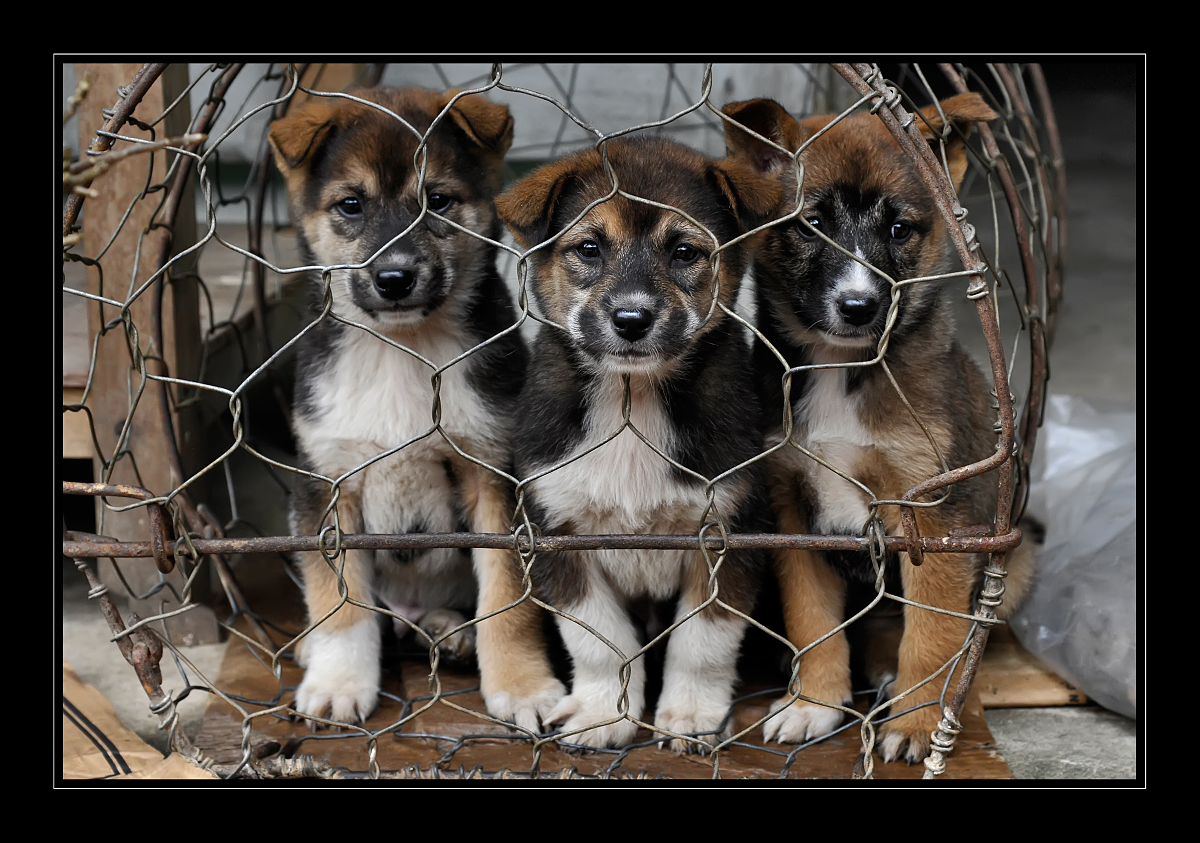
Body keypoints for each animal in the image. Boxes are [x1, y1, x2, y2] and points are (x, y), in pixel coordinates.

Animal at [494, 136, 777, 754]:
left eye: (685, 252)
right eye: (590, 248)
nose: (631, 318)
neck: (634, 395)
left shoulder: (728, 534)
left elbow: (702, 642)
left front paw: (689, 715)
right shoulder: (558, 535)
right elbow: (601, 643)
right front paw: (605, 715)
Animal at [720, 94, 1041, 768]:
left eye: (899, 230)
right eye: (810, 225)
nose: (859, 306)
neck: (842, 369)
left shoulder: (935, 519)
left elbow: (932, 632)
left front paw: (918, 725)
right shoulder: (793, 513)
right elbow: (813, 623)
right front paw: (814, 703)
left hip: (1016, 559)